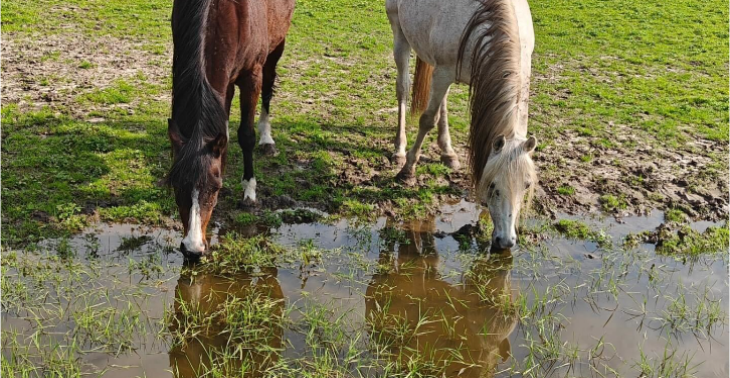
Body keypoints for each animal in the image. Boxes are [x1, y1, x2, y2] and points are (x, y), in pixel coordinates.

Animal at [165, 0, 292, 256]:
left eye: (215, 188)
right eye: (175, 184)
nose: (193, 249)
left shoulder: (252, 75)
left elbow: (246, 135)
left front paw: (249, 191)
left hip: (276, 47)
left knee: (269, 84)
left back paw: (267, 140)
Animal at [386, 0, 536, 250]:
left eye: (526, 185)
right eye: (492, 186)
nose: (506, 241)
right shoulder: (443, 72)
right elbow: (427, 119)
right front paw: (407, 171)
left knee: (442, 102)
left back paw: (448, 152)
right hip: (400, 33)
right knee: (403, 88)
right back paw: (399, 149)